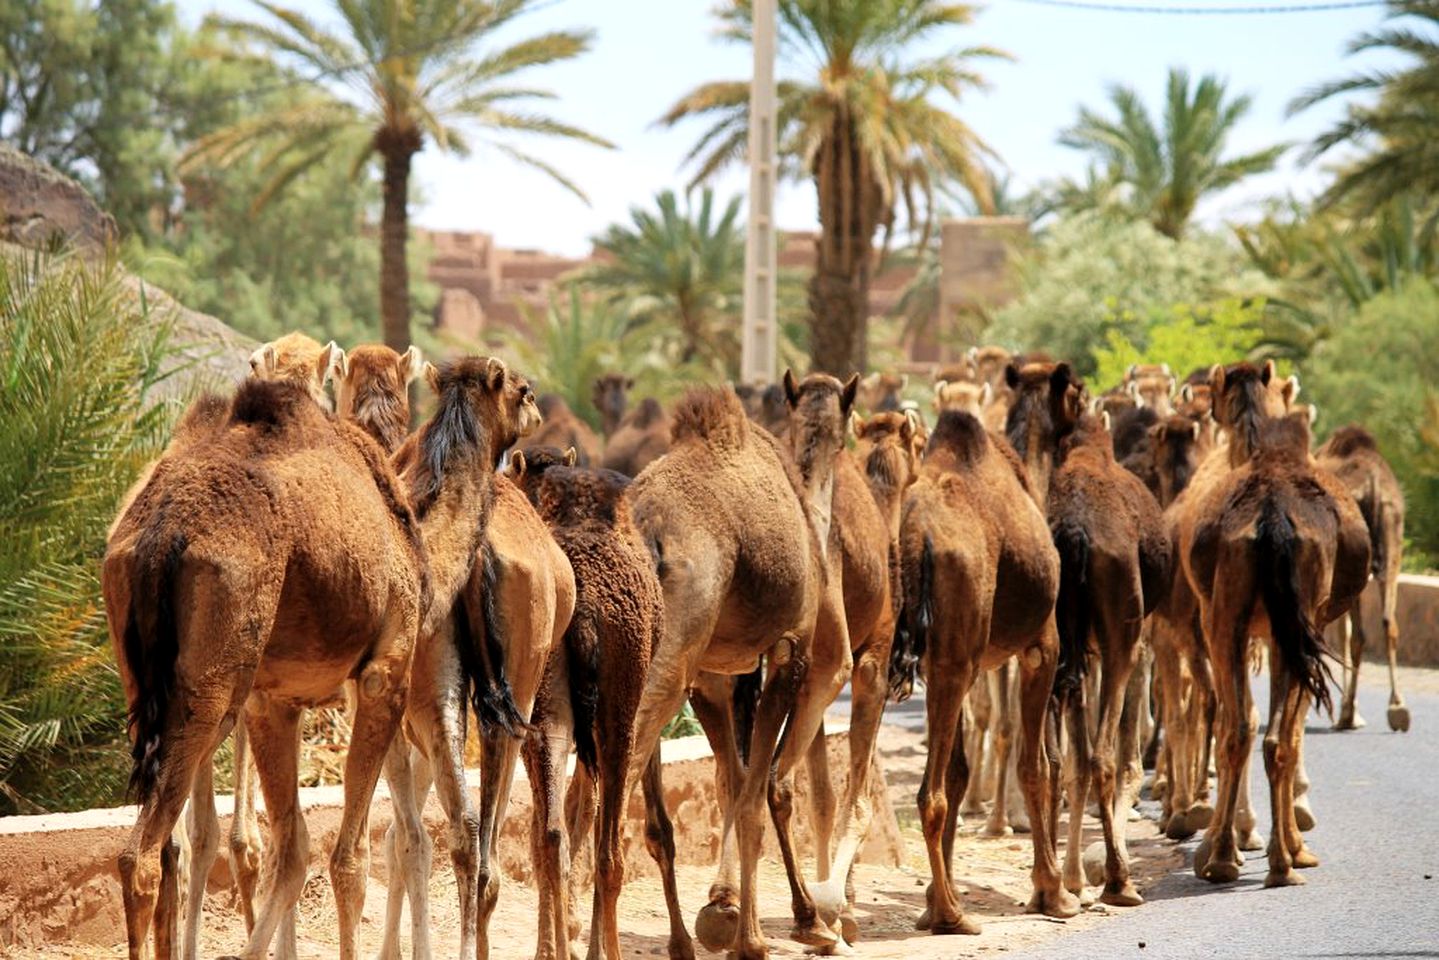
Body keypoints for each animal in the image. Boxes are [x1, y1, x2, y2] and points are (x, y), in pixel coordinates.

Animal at [104, 374, 423, 960]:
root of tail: (161, 533)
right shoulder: (384, 674)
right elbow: (348, 859)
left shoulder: (275, 698)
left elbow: (292, 851)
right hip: (212, 686)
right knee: (144, 854)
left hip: (140, 677)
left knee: (155, 852)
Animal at [624, 385, 846, 960]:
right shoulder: (790, 650)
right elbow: (760, 791)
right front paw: (769, 932)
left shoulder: (712, 673)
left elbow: (732, 779)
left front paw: (721, 915)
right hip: (672, 657)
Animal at [886, 408, 1082, 932]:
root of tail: (917, 537)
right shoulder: (1042, 644)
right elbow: (1036, 765)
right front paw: (1052, 892)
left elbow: (959, 771)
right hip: (960, 649)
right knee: (929, 794)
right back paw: (951, 914)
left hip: (930, 654)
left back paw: (941, 904)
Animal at [1179, 364, 1369, 892]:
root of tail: (1273, 519)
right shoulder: (1305, 629)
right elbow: (1291, 728)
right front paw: (1293, 846)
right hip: (1276, 624)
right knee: (1260, 731)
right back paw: (1256, 857)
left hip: (1233, 620)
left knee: (1247, 729)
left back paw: (1236, 857)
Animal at [1318, 423, 1410, 731]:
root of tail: (1374, 487)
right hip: (1393, 547)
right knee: (1388, 623)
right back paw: (1397, 707)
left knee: (1358, 634)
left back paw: (1347, 713)